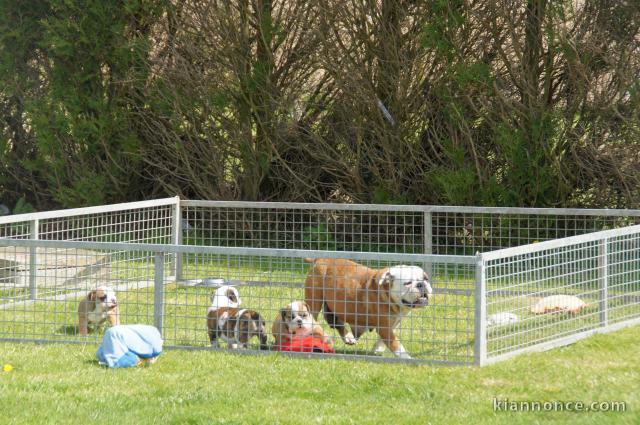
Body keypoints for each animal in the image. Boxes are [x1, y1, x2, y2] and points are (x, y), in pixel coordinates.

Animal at [302, 258, 432, 358]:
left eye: (426, 278)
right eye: (407, 283)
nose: (421, 284)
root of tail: (320, 259)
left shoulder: (393, 323)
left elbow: (385, 339)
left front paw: (378, 349)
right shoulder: (384, 327)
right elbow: (395, 343)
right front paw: (406, 357)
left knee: (335, 322)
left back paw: (348, 337)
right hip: (314, 302)